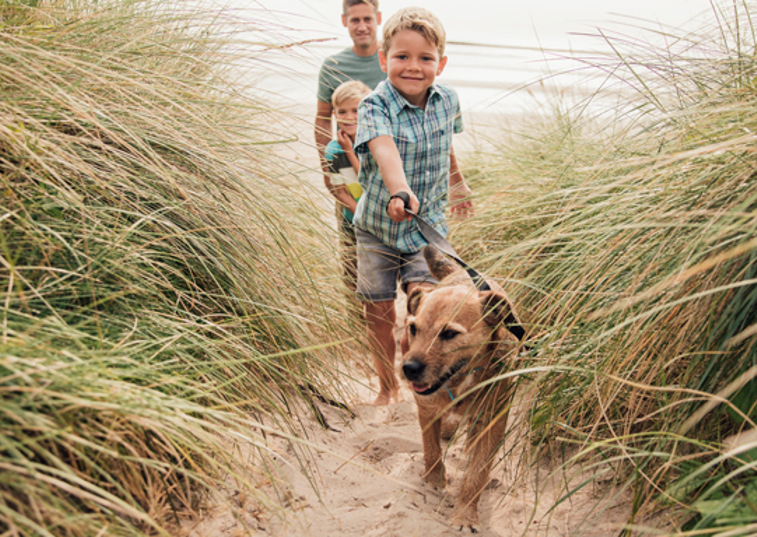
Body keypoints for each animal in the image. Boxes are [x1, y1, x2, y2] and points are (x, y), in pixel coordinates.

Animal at [402, 245, 520, 528]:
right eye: (413, 329)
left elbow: (477, 473)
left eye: (449, 334)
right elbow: (431, 449)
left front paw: (465, 514)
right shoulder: (427, 409)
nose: (408, 369)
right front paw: (434, 480)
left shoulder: (492, 423)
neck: (459, 382)